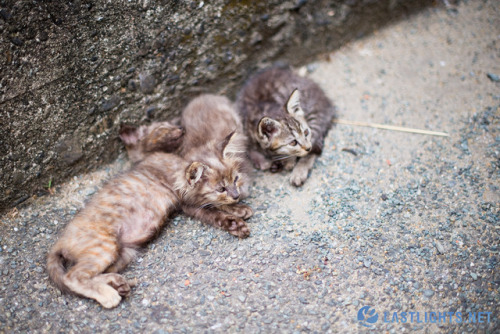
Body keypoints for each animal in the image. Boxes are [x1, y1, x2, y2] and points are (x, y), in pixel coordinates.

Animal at [46, 148, 248, 308]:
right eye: (221, 188)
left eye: (236, 179)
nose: (236, 195)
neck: (176, 166)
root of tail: (60, 241)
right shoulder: (188, 203)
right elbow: (214, 209)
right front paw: (236, 216)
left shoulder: (189, 205)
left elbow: (214, 209)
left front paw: (238, 211)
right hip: (105, 247)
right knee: (72, 276)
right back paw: (108, 295)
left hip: (123, 254)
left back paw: (118, 284)